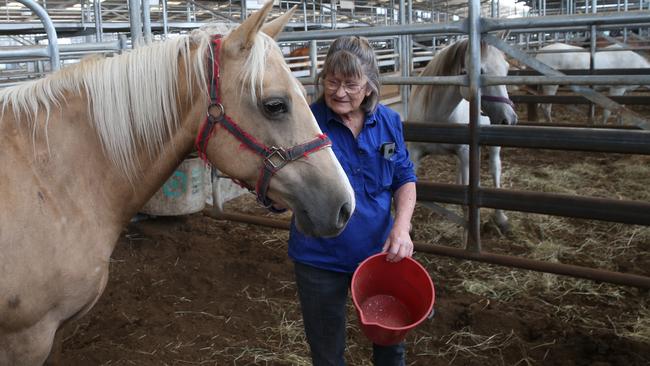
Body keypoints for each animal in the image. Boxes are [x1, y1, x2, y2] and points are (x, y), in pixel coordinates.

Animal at [404, 39, 516, 232]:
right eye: (480, 71)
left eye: (506, 69)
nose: (509, 119)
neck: (438, 115)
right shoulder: (415, 153)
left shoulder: (465, 153)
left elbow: (466, 203)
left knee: (495, 168)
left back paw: (500, 218)